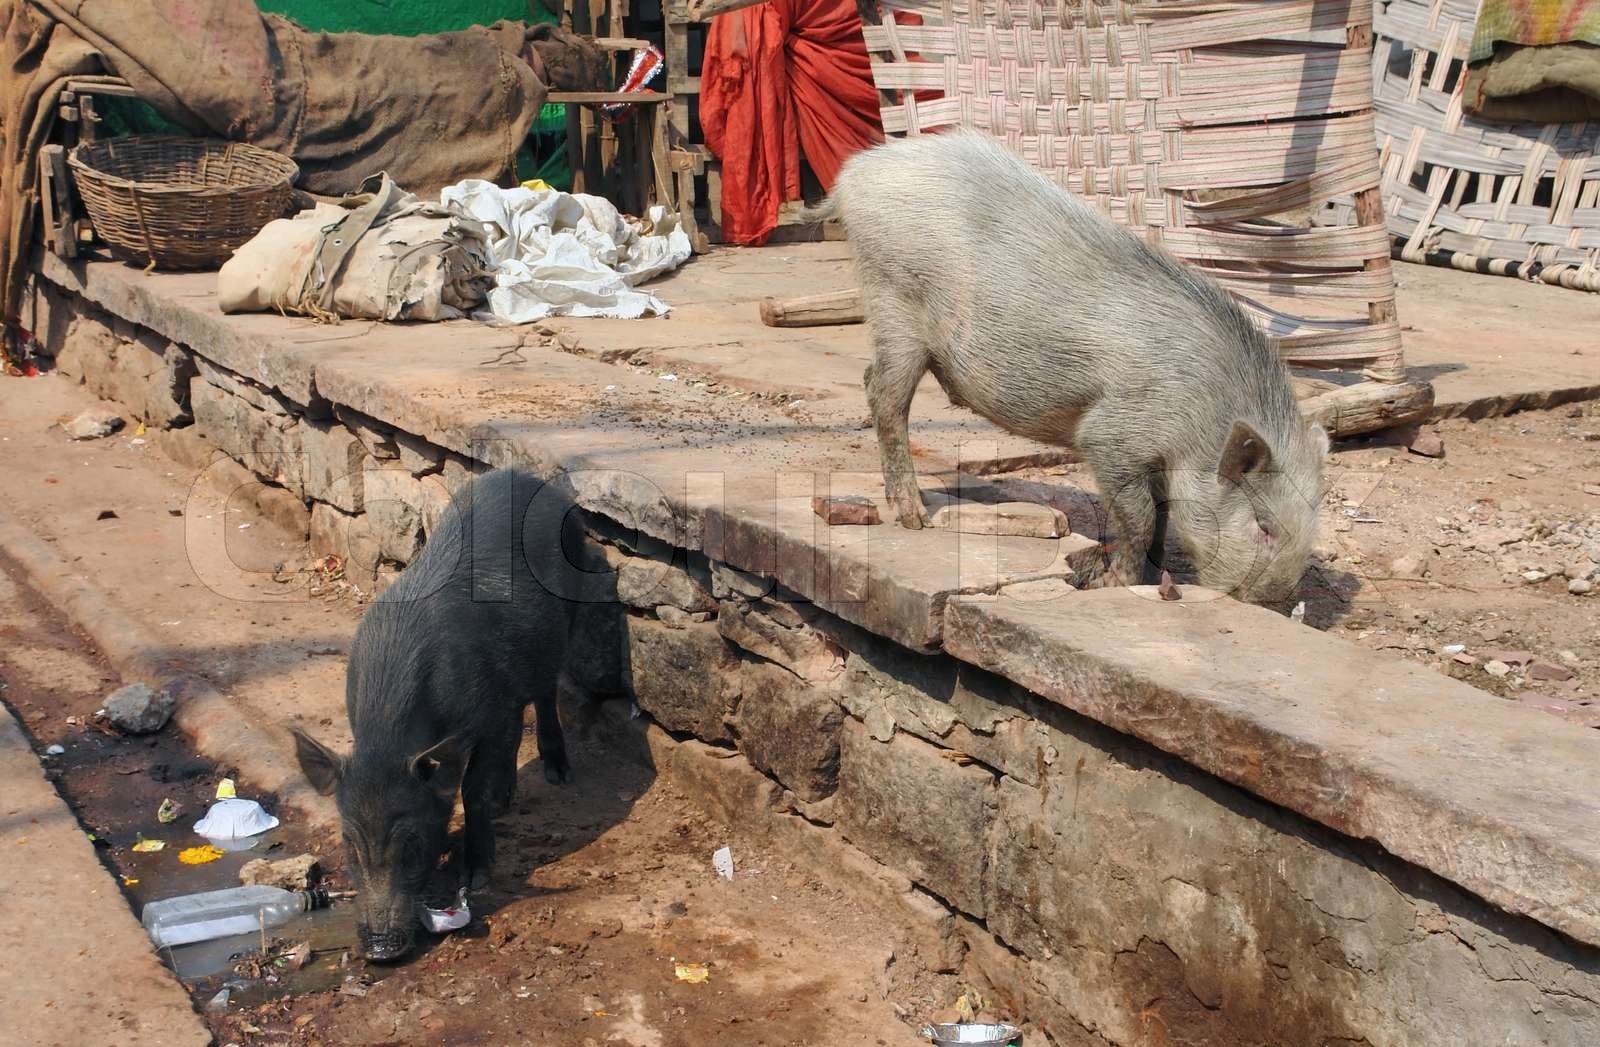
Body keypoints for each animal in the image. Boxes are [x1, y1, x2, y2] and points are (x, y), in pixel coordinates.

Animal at [292, 467, 595, 961]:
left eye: (411, 844)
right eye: (349, 844)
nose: (380, 950)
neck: (389, 741)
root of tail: (533, 479)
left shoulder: (490, 714)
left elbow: (472, 789)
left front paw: (477, 876)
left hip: (568, 612)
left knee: (547, 693)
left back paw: (559, 774)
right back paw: (510, 796)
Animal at [812, 130, 1328, 604]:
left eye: (1312, 525)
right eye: (1264, 526)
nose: (1273, 602)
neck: (1203, 420)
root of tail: (856, 172)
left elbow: (1162, 513)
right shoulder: (1112, 434)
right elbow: (1140, 515)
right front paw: (1117, 584)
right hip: (894, 301)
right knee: (884, 396)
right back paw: (914, 518)